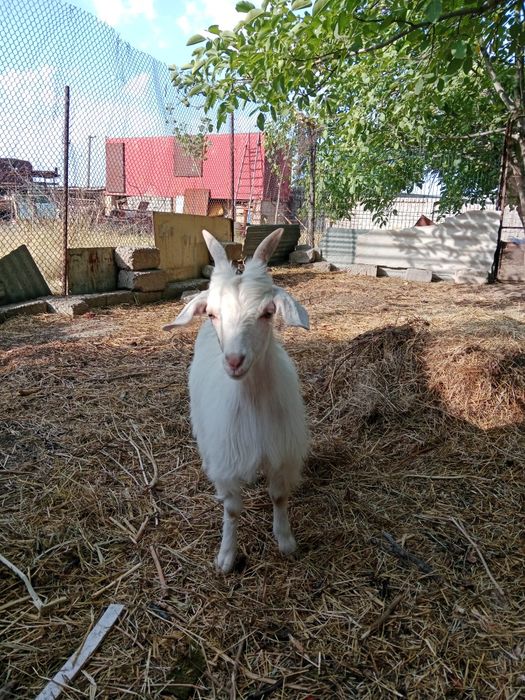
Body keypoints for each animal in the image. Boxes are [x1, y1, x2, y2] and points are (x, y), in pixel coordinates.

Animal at [164, 228, 310, 573]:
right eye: (212, 313)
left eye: (268, 312)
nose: (233, 361)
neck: (251, 400)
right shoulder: (228, 461)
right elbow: (231, 510)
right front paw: (226, 556)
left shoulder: (281, 452)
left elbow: (279, 497)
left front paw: (285, 541)